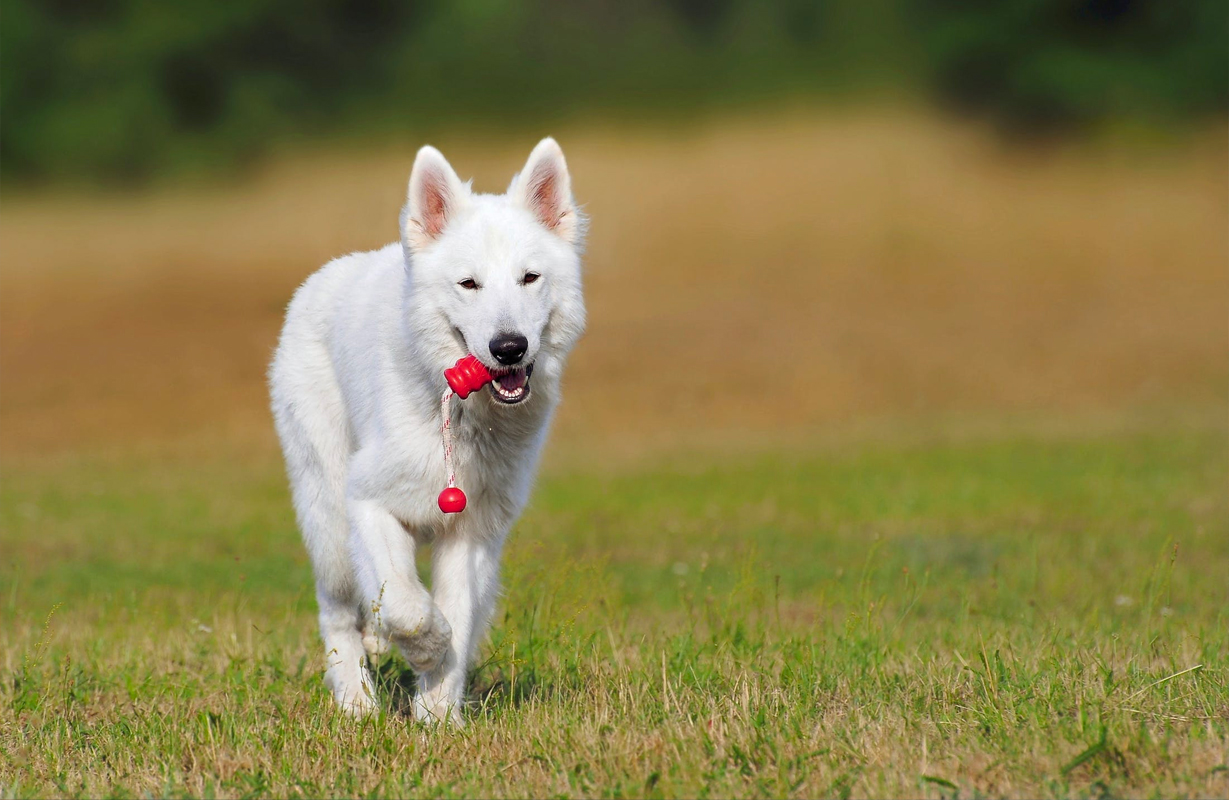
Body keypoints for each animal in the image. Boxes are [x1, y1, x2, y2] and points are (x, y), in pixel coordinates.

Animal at [271, 140, 587, 722]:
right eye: (469, 284)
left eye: (530, 278)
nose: (509, 347)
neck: (462, 417)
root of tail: (323, 276)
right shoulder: (367, 502)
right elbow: (407, 606)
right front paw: (425, 649)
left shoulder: (472, 532)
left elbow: (456, 613)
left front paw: (438, 716)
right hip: (327, 517)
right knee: (337, 611)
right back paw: (356, 703)